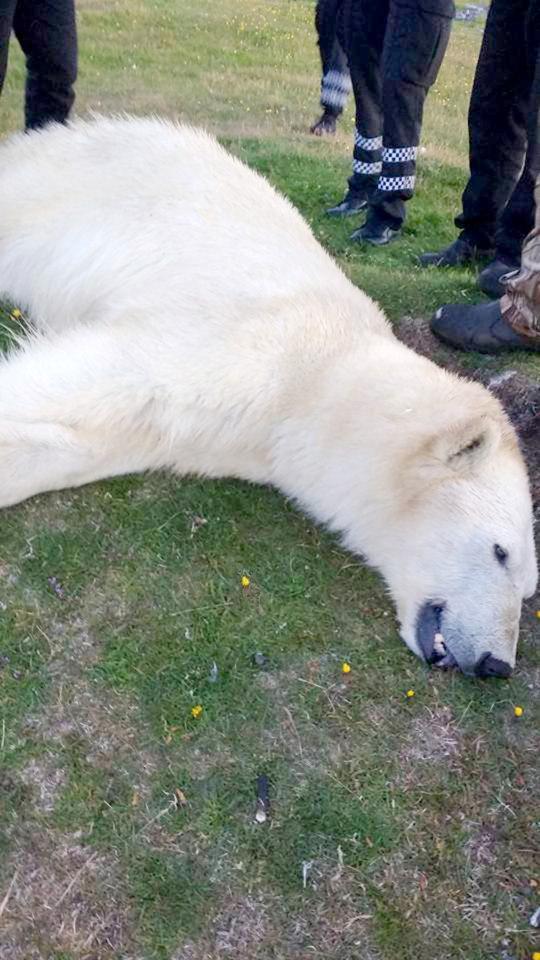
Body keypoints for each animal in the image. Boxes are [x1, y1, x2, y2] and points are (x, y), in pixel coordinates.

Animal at [0, 116, 536, 676]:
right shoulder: (243, 342)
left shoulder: (234, 434)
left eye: (527, 592)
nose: (497, 664)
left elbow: (114, 439)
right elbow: (97, 372)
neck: (320, 378)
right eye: (500, 551)